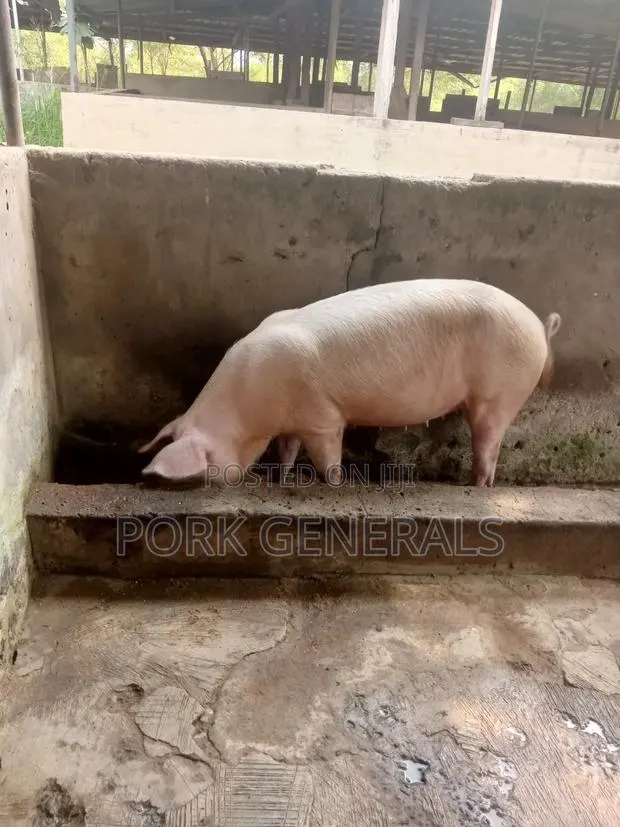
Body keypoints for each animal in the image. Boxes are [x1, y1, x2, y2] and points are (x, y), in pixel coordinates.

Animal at [138, 279, 561, 488]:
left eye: (207, 466)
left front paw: (334, 484)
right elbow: (288, 450)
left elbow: (328, 458)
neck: (248, 409)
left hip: (500, 393)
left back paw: (475, 488)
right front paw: (282, 476)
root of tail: (539, 326)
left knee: (489, 446)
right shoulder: (293, 422)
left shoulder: (322, 416)